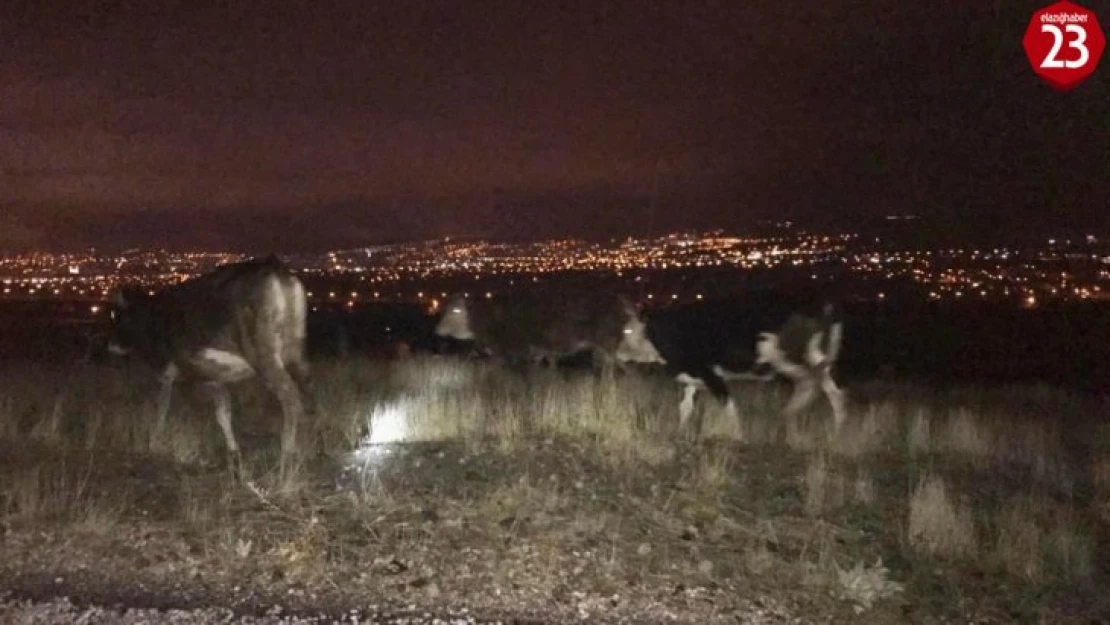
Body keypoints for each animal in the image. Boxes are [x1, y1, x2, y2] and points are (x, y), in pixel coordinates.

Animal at [106, 255, 310, 475]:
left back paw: (286, 455)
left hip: (263, 355)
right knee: (305, 389)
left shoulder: (175, 371)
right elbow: (224, 413)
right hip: (295, 350)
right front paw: (234, 454)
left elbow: (163, 407)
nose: (110, 345)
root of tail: (278, 271)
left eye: (117, 316)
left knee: (290, 398)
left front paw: (153, 443)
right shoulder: (215, 375)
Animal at [617, 293, 848, 430]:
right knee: (833, 390)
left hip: (786, 357)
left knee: (809, 382)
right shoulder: (693, 375)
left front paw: (738, 437)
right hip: (815, 354)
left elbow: (727, 405)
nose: (618, 353)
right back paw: (837, 430)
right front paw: (680, 431)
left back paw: (790, 414)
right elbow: (685, 406)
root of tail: (821, 305)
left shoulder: (710, 373)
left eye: (627, 330)